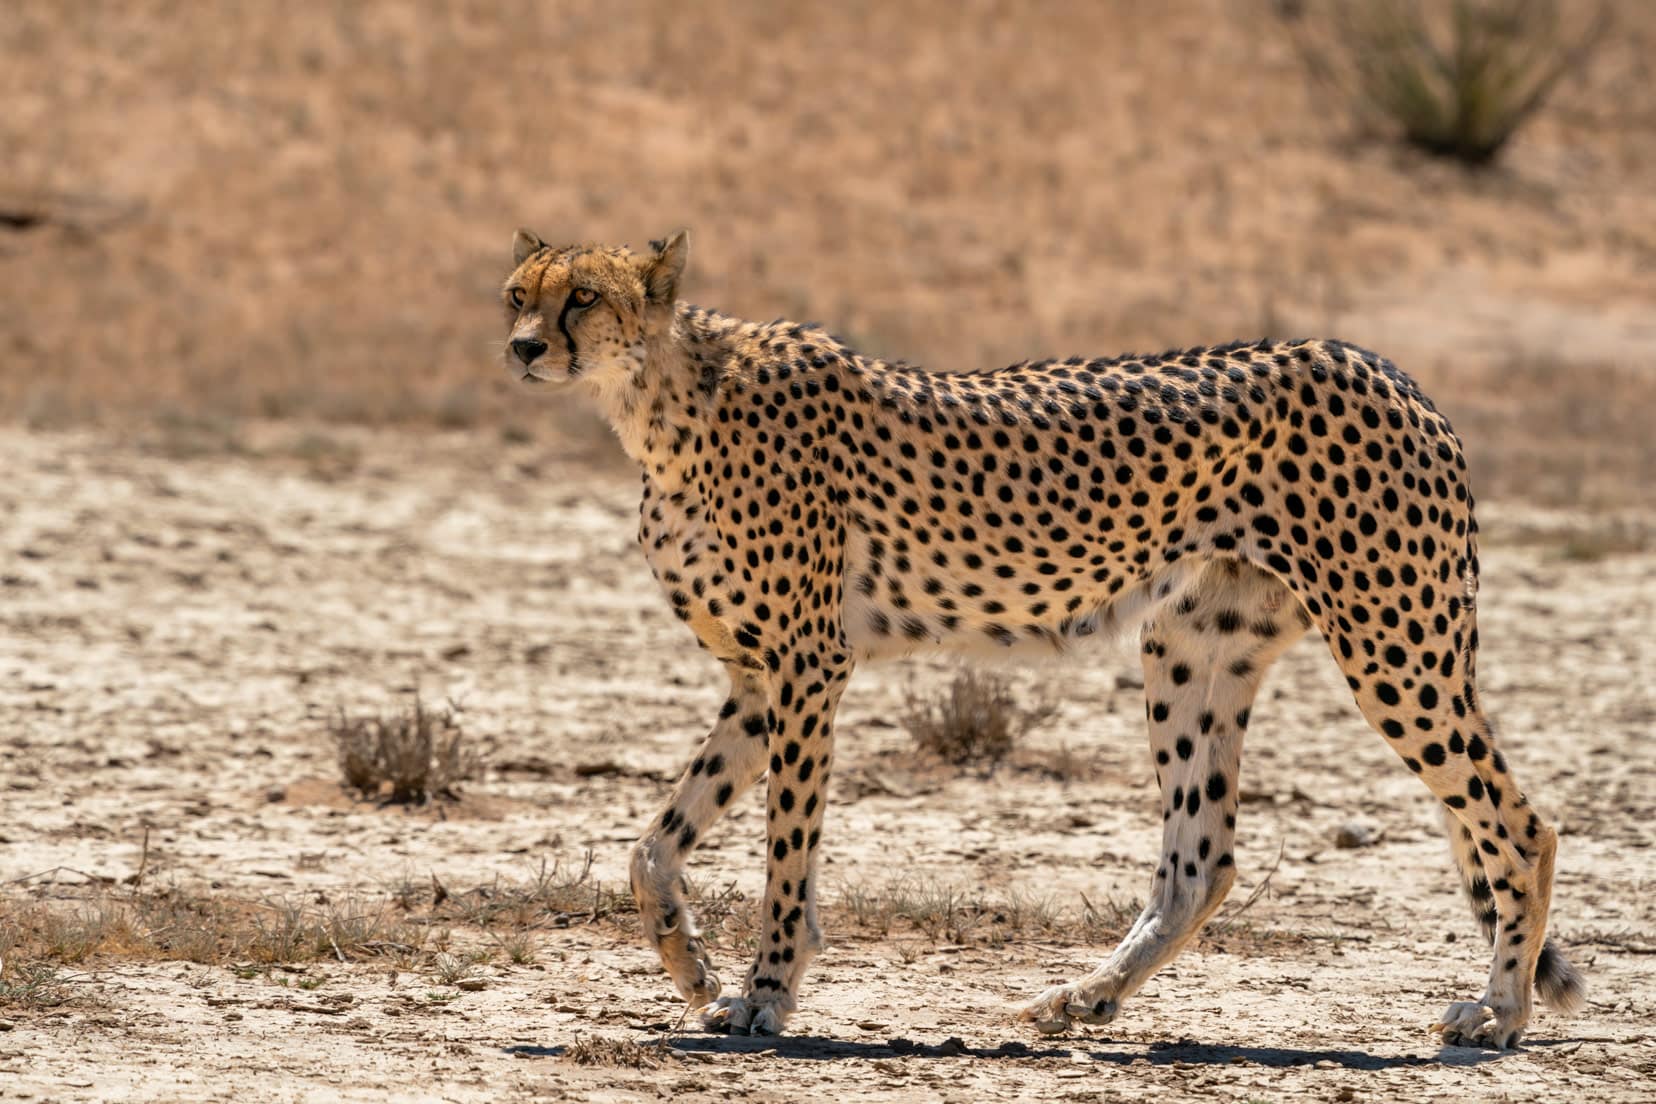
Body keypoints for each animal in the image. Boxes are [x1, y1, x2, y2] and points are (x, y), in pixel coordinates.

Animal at [496, 228, 1583, 1052]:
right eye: (517, 293)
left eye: (583, 297)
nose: (520, 349)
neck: (663, 404)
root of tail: (1386, 367)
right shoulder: (760, 677)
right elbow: (653, 845)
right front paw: (693, 969)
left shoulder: (808, 668)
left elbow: (785, 850)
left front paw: (767, 993)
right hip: (1192, 645)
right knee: (1203, 859)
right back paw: (1084, 999)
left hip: (1394, 645)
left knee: (1522, 825)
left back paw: (1501, 1012)